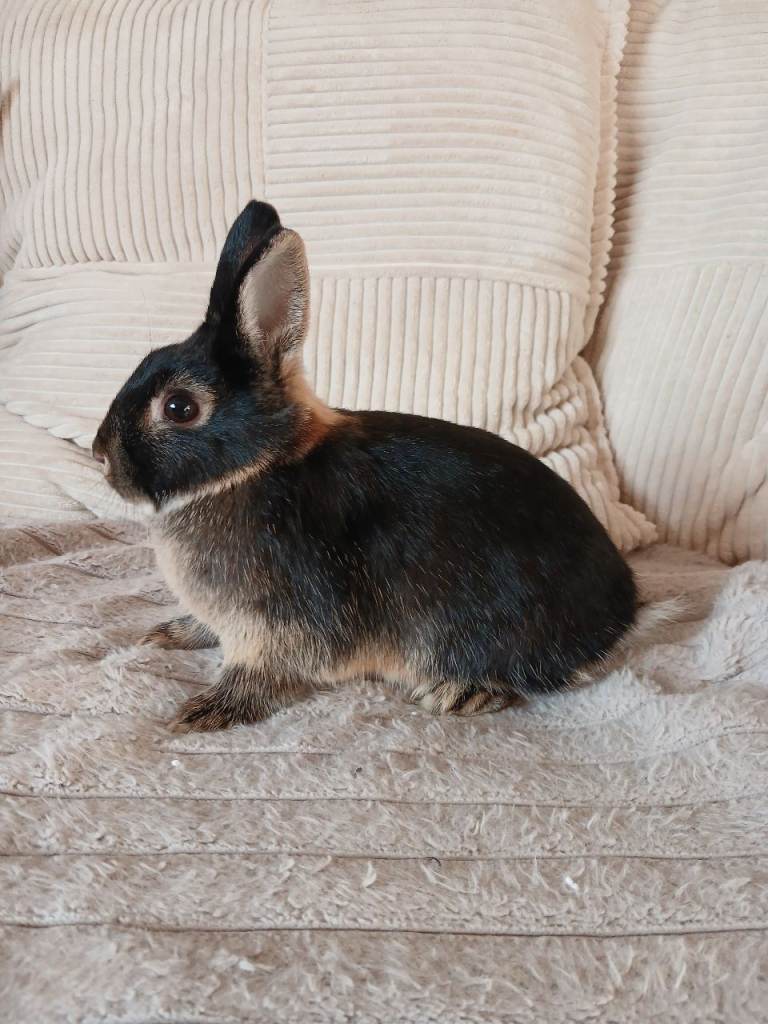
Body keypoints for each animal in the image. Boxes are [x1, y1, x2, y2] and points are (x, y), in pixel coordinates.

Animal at [93, 200, 639, 733]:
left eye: (179, 407)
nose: (100, 455)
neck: (256, 466)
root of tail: (619, 614)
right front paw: (169, 633)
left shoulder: (279, 622)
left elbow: (262, 670)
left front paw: (207, 711)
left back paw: (458, 692)